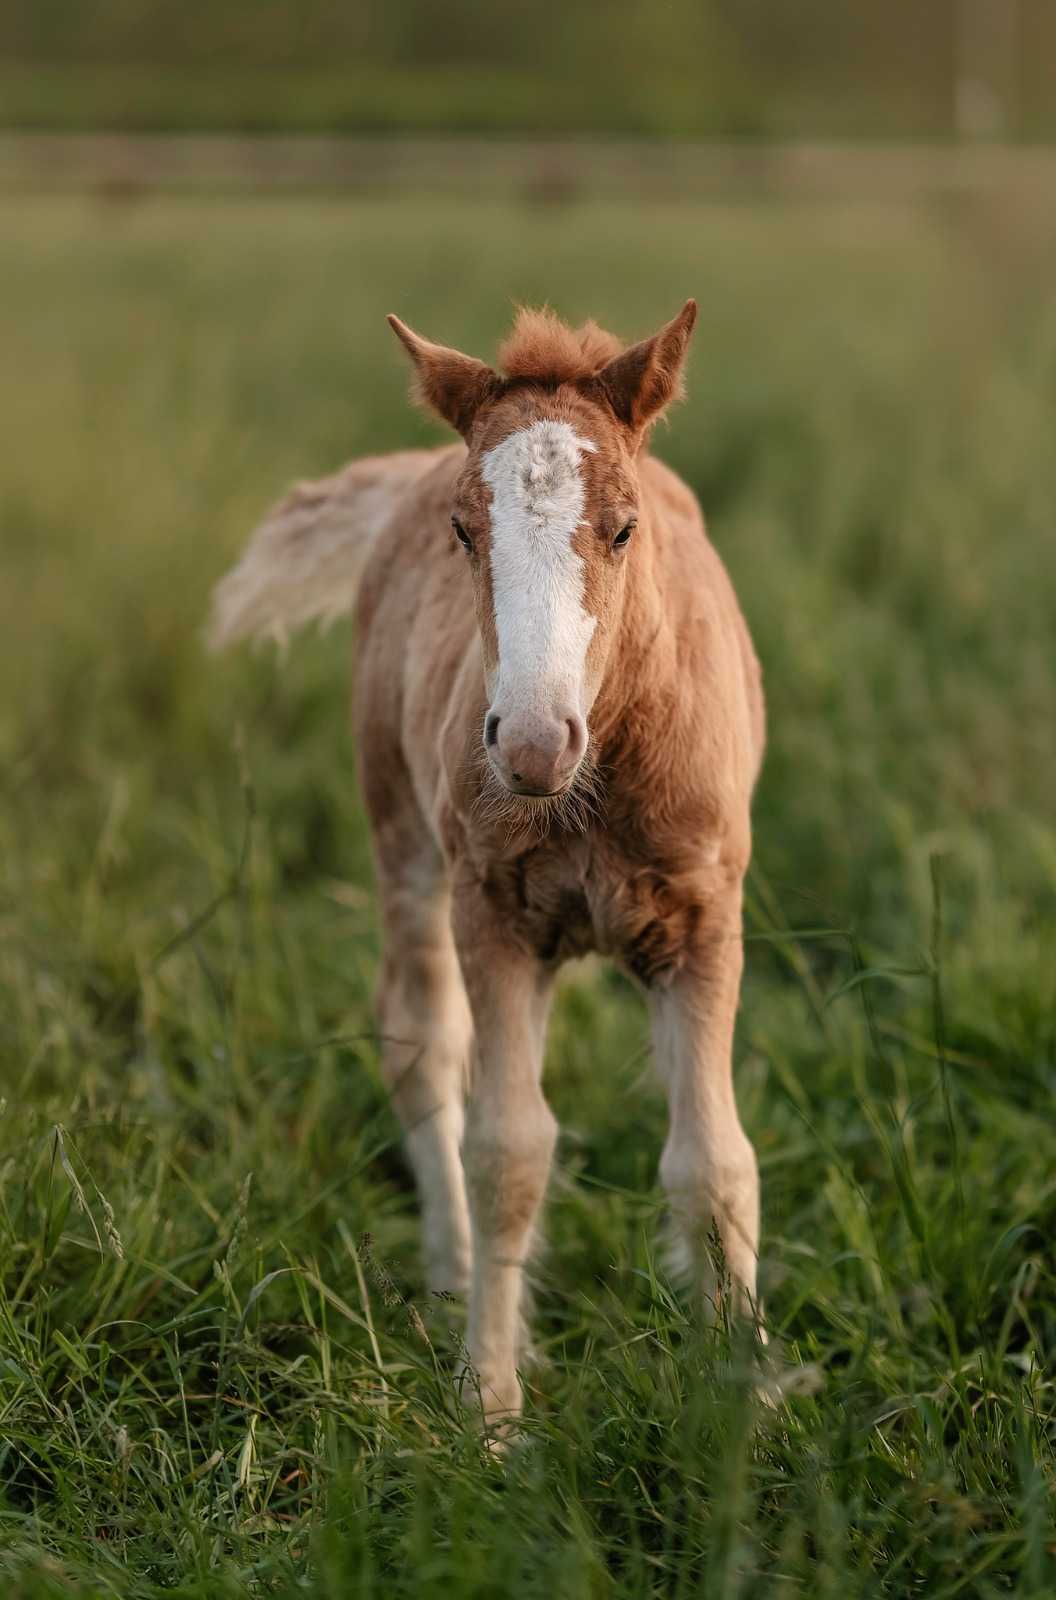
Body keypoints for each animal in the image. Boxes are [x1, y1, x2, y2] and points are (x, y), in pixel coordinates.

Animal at [209, 300, 761, 1427]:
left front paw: (751, 1406)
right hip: (407, 843)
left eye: (624, 527)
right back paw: (454, 1283)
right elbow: (508, 1152)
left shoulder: (700, 919)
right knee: (424, 1042)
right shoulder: (496, 916)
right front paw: (491, 1412)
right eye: (466, 532)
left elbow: (715, 1162)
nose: (531, 745)